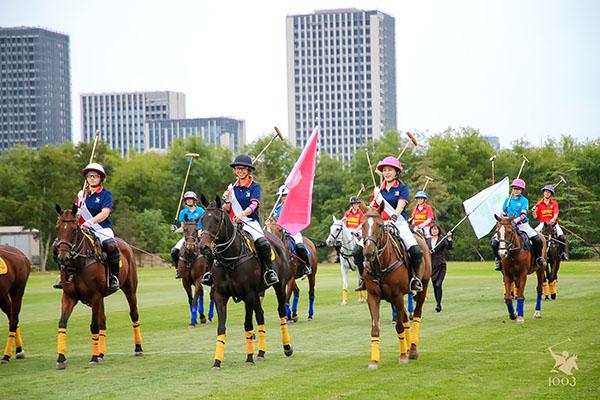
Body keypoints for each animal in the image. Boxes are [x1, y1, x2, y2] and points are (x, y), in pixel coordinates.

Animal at [55, 205, 144, 370]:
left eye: (74, 229)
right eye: (58, 228)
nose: (63, 258)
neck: (78, 264)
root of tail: (125, 244)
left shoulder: (94, 295)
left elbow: (94, 326)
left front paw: (94, 357)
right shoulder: (69, 296)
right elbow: (62, 323)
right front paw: (61, 358)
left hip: (130, 289)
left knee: (134, 314)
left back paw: (138, 348)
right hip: (102, 297)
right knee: (103, 320)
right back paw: (102, 353)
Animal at [199, 195, 292, 370]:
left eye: (216, 220)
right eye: (202, 219)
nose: (204, 247)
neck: (230, 259)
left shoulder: (248, 294)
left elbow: (248, 324)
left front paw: (249, 358)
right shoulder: (220, 296)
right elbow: (221, 327)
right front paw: (217, 361)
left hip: (279, 286)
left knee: (281, 311)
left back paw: (287, 347)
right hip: (258, 292)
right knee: (260, 315)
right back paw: (261, 352)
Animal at [360, 206, 432, 368]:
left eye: (380, 225)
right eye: (363, 225)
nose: (368, 253)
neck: (380, 265)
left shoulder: (397, 294)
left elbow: (399, 326)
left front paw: (403, 356)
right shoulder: (373, 296)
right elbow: (375, 328)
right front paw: (374, 360)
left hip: (422, 286)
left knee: (416, 314)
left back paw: (412, 350)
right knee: (405, 316)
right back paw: (407, 346)